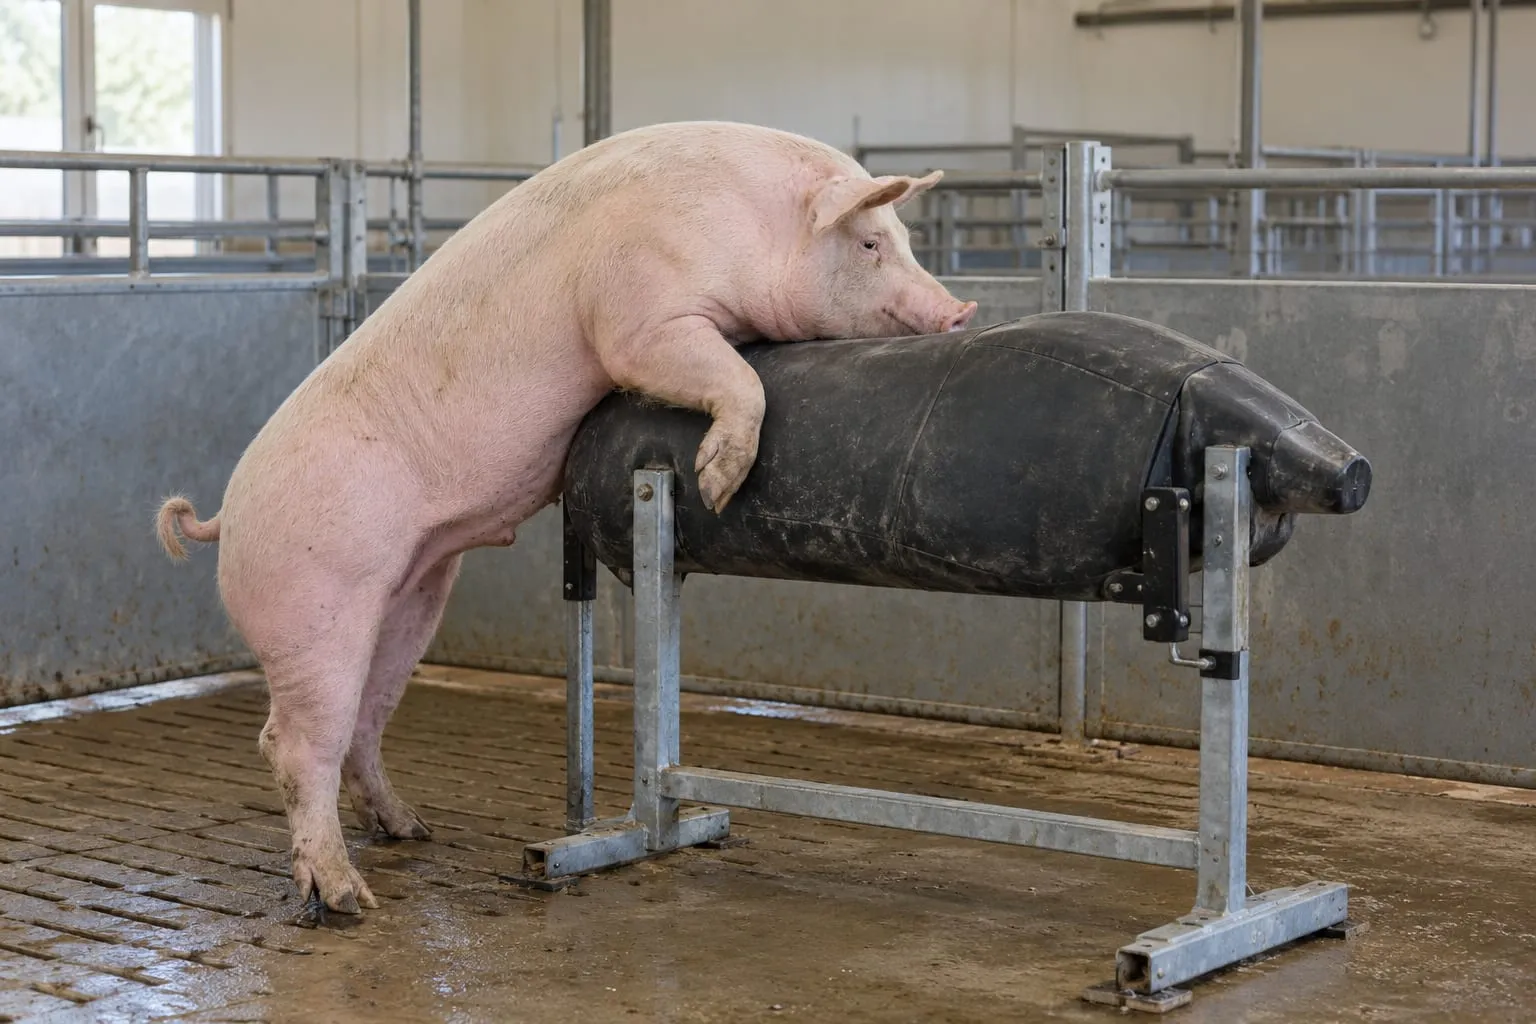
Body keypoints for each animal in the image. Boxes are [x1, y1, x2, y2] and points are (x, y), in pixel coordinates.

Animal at [155, 120, 977, 917]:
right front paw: (719, 482)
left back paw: (412, 830)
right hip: (313, 602)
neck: (749, 219)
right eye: (869, 243)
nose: (959, 311)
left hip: (409, 594)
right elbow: (730, 373)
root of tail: (224, 518)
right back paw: (348, 899)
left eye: (903, 238)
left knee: (364, 718)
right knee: (292, 744)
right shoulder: (641, 317)